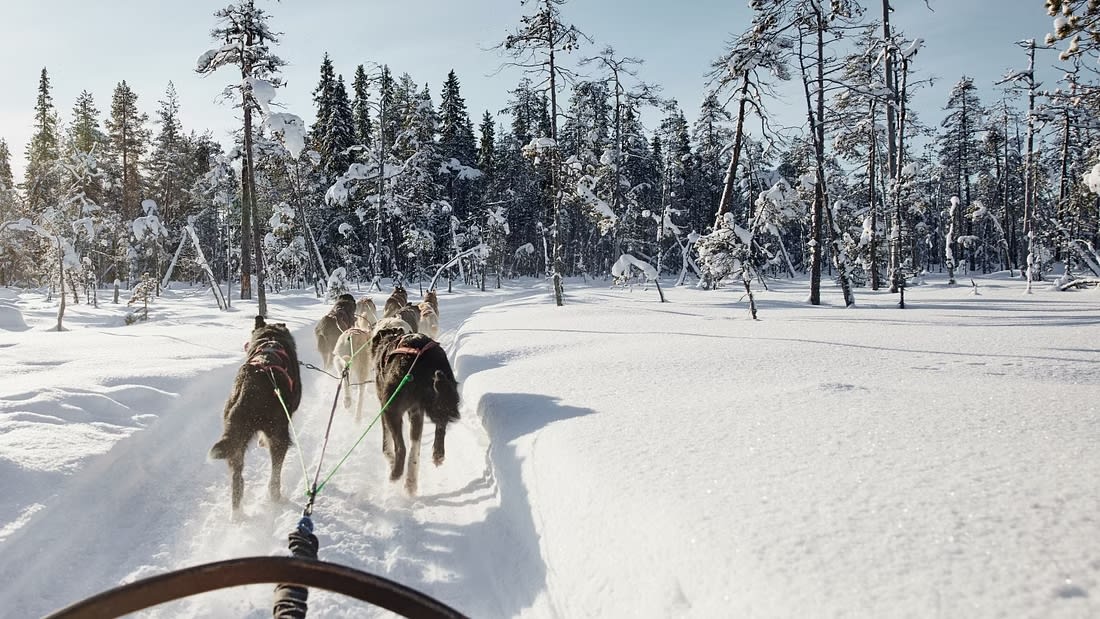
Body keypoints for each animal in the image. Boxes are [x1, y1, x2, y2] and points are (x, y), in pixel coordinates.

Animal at [209, 316, 301, 516]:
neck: (270, 338)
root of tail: (251, 386)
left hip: (235, 442)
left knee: (237, 480)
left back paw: (237, 513)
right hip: (279, 437)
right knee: (275, 476)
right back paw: (276, 497)